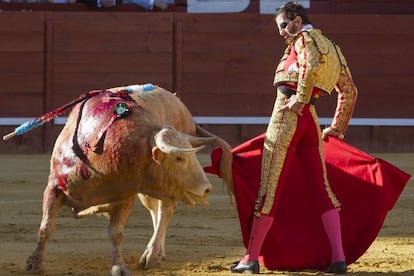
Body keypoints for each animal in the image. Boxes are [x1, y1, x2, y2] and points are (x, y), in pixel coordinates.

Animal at [24, 84, 233, 276]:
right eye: (179, 158)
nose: (206, 188)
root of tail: (178, 102)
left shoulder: (125, 198)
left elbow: (116, 233)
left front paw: (119, 267)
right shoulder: (54, 188)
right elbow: (46, 227)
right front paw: (35, 264)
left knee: (165, 210)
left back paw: (152, 255)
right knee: (155, 211)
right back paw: (156, 253)